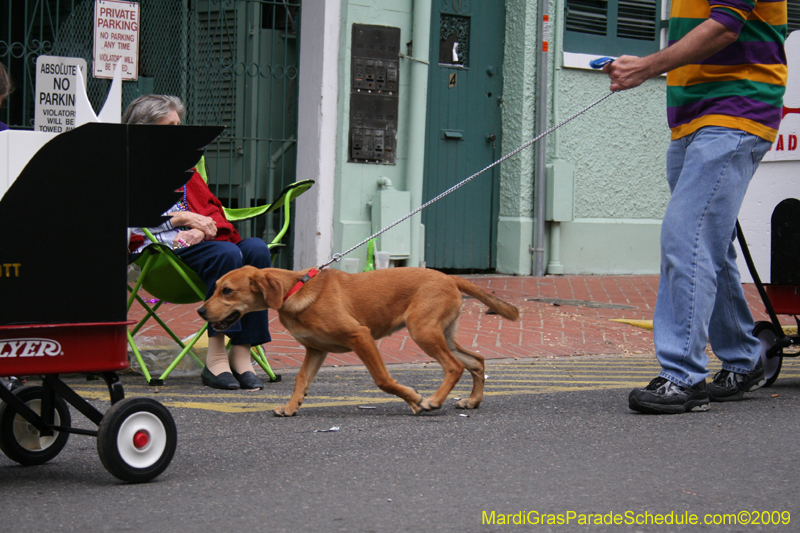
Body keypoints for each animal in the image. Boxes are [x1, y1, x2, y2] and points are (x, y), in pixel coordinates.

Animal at [197, 266, 516, 416]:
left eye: (227, 291)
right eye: (216, 288)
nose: (200, 311)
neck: (294, 291)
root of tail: (450, 278)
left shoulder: (360, 336)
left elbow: (383, 380)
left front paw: (413, 400)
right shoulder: (316, 350)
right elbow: (301, 380)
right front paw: (290, 407)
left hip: (423, 331)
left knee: (454, 367)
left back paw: (433, 401)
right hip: (442, 334)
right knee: (477, 361)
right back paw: (472, 401)